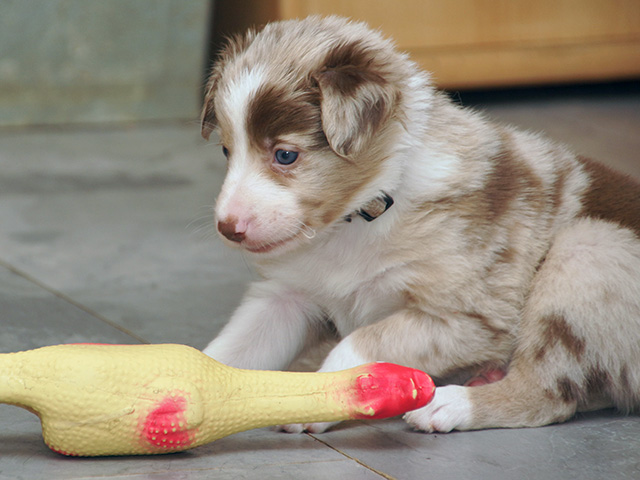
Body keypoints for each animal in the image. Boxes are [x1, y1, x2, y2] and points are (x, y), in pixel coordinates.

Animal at [200, 16, 640, 434]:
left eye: (286, 155)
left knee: (547, 395)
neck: (360, 216)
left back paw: (450, 404)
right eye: (226, 150)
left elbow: (358, 345)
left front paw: (325, 399)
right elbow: (232, 348)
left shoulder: (466, 317)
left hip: (587, 249)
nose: (228, 227)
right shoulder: (286, 296)